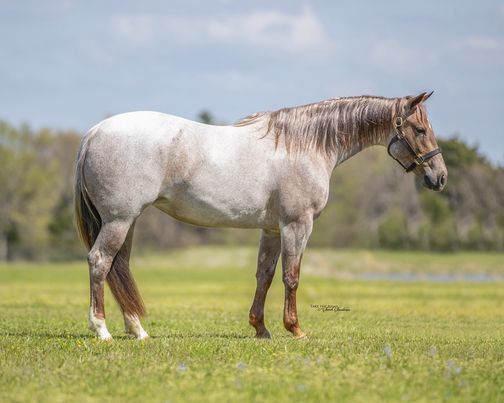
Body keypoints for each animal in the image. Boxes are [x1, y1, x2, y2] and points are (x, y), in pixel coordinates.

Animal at [74, 92, 444, 340]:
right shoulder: (297, 225)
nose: (439, 177)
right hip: (119, 220)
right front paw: (295, 329)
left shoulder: (272, 230)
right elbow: (291, 276)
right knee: (100, 262)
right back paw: (102, 329)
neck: (305, 145)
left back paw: (137, 330)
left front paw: (261, 329)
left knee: (119, 266)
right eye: (420, 130)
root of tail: (95, 132)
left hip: (127, 221)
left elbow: (264, 275)